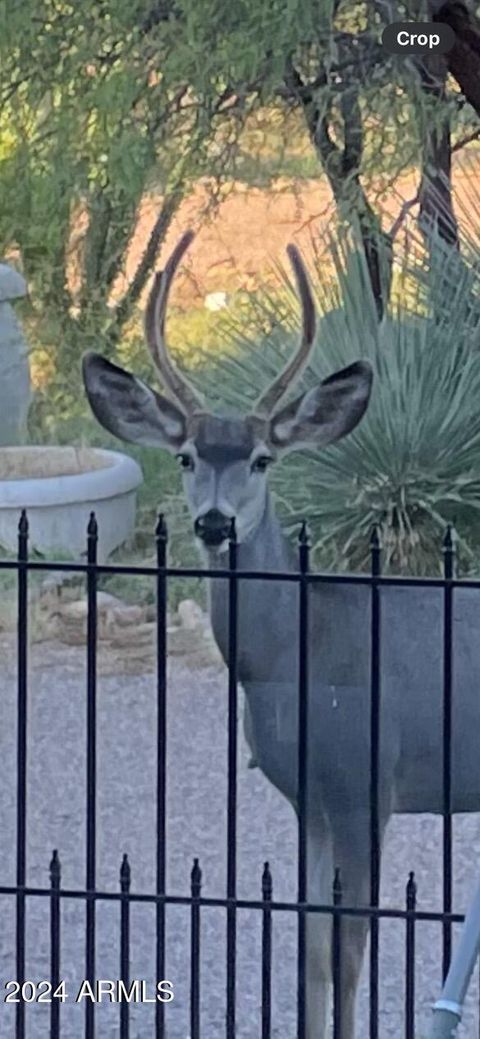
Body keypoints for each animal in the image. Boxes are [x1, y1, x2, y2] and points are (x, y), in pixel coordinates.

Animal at [80, 233, 480, 1039]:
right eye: (185, 457)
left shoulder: (364, 778)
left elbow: (351, 953)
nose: (213, 522)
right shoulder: (308, 798)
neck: (297, 656)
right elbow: (311, 949)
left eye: (263, 459)